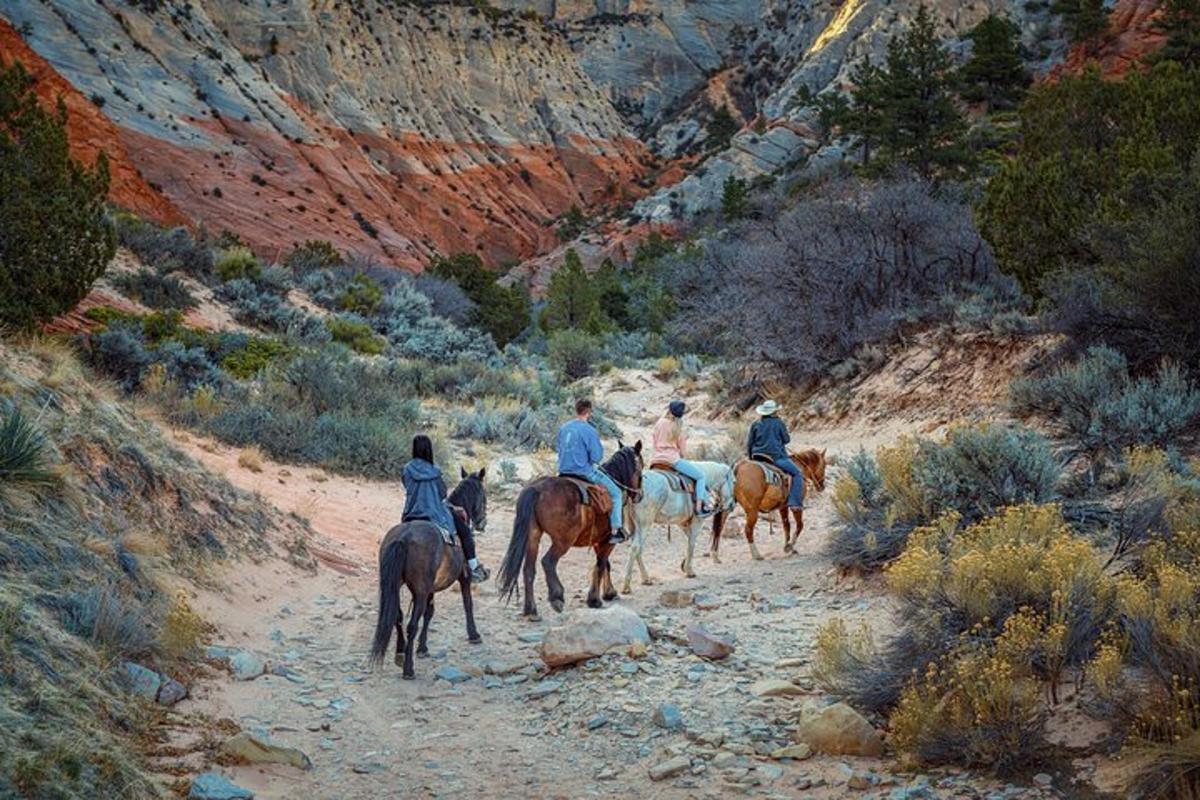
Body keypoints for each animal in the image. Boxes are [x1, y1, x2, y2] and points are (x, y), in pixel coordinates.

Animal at [367, 465, 484, 681]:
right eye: (483, 494)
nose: (482, 522)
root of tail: (403, 537)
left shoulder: (430, 588)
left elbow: (429, 613)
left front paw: (422, 648)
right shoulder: (463, 578)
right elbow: (467, 603)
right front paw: (474, 635)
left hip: (395, 585)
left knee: (397, 615)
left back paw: (400, 653)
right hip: (419, 590)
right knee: (411, 624)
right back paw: (408, 669)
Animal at [496, 443, 648, 618]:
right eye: (641, 467)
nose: (639, 495)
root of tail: (537, 489)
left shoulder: (598, 540)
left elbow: (605, 565)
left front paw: (609, 592)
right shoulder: (608, 540)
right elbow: (601, 564)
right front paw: (595, 599)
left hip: (533, 537)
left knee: (528, 570)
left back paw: (531, 610)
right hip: (563, 541)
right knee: (548, 562)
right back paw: (556, 597)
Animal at [624, 455, 734, 594]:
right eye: (734, 481)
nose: (731, 505)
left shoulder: (681, 522)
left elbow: (689, 540)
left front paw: (684, 565)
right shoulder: (697, 521)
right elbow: (691, 543)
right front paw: (689, 570)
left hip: (635, 526)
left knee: (637, 549)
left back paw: (646, 579)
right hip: (644, 525)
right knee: (635, 548)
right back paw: (627, 586)